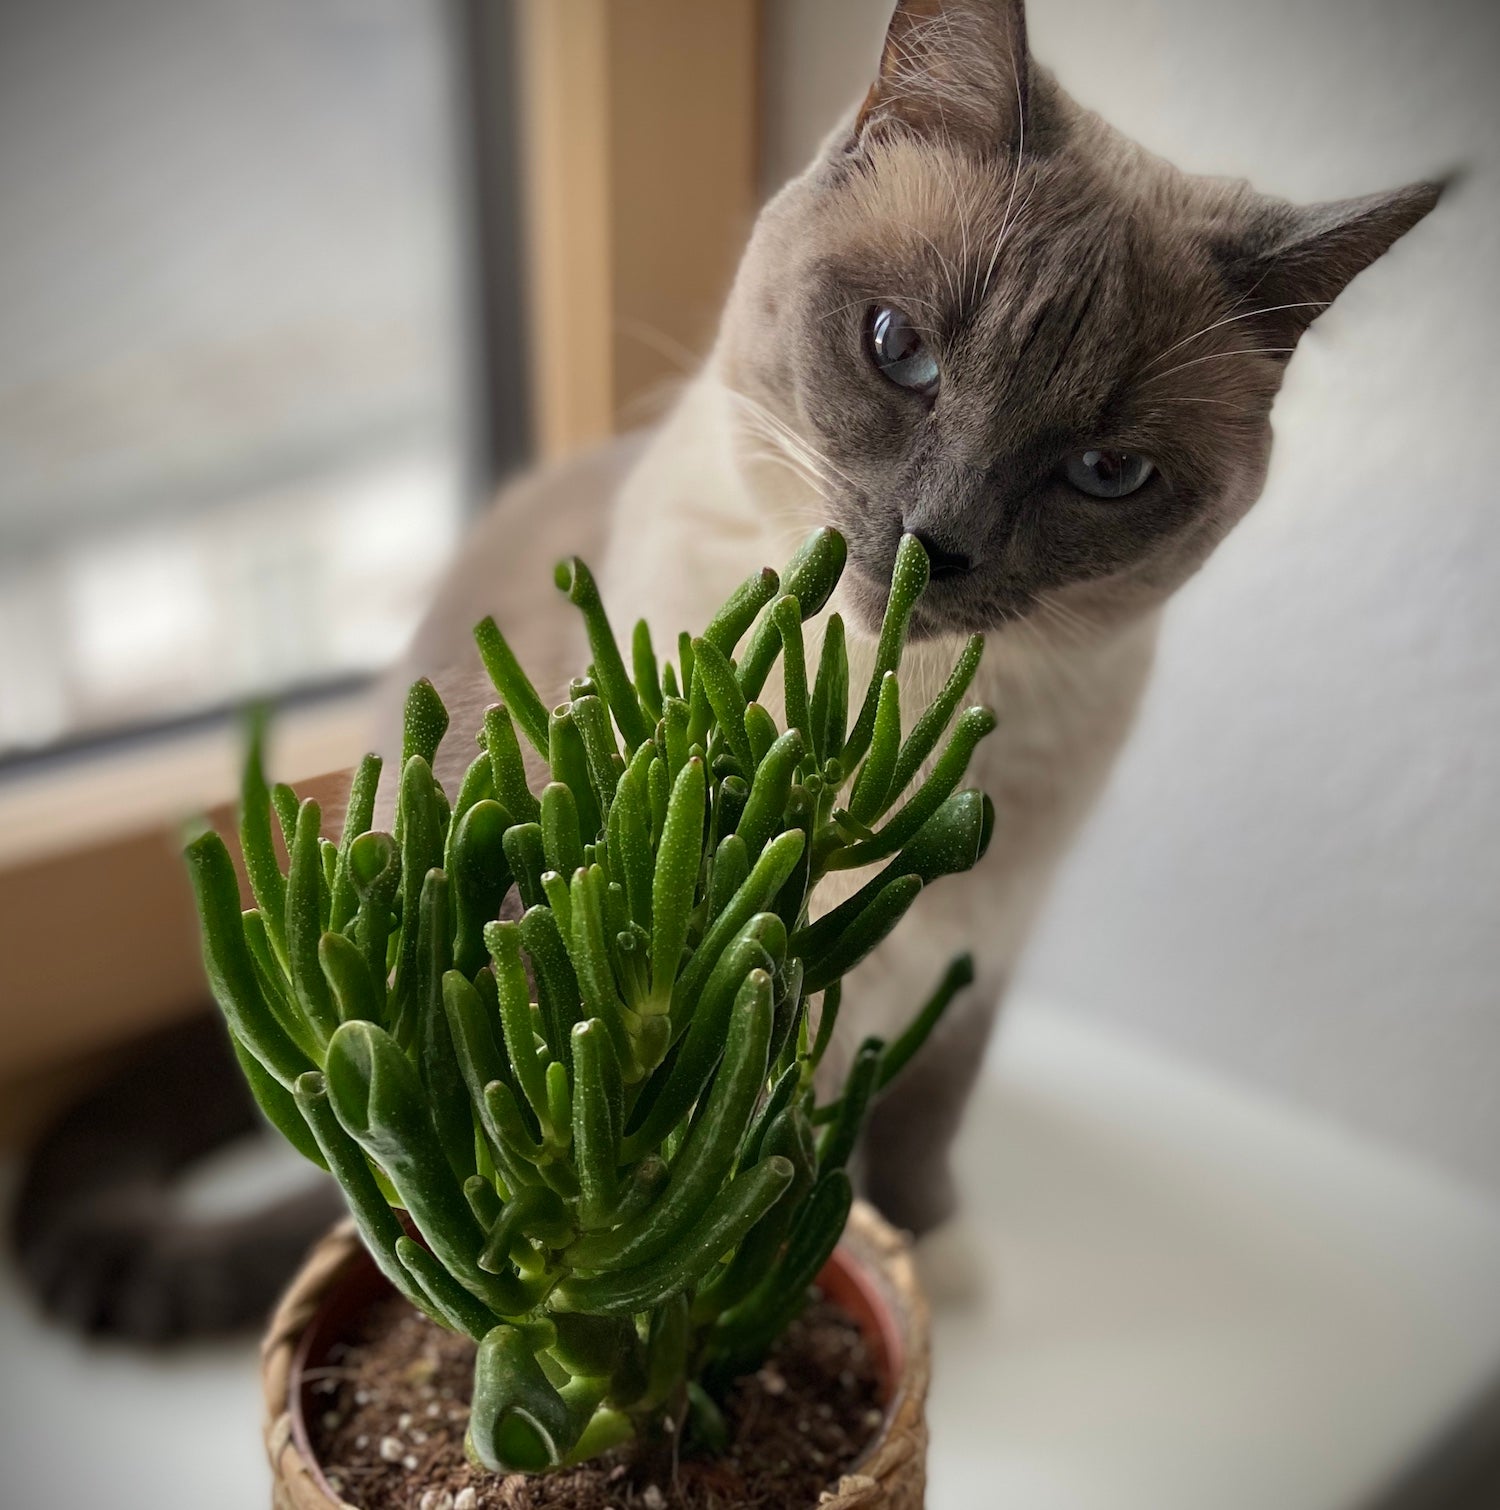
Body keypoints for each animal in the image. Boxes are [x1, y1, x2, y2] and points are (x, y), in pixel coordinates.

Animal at [14, 0, 1438, 1340]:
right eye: (900, 350)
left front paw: (931, 1253)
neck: (877, 690)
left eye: (1106, 471)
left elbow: (925, 1111)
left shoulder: (982, 948)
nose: (938, 542)